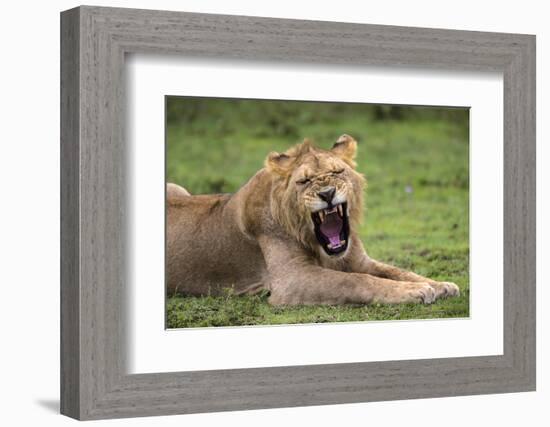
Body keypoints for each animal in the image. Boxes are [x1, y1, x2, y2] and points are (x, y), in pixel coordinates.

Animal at [168, 135, 462, 306]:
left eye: (337, 172)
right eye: (305, 181)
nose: (327, 193)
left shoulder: (360, 261)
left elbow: (398, 271)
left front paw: (440, 285)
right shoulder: (292, 280)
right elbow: (355, 281)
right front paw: (417, 291)